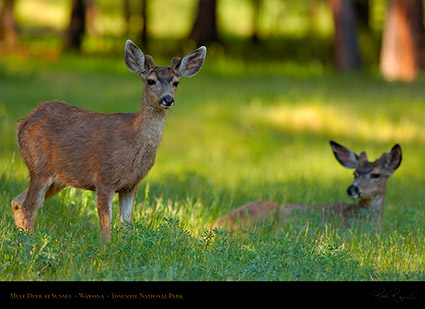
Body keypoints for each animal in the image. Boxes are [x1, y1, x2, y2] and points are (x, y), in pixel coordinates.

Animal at [10, 39, 206, 241]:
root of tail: (23, 123)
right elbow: (106, 228)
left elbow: (127, 226)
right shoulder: (104, 178)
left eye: (176, 82)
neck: (133, 143)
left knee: (17, 201)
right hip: (39, 165)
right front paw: (106, 248)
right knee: (29, 206)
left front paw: (125, 245)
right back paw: (31, 242)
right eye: (151, 81)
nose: (168, 99)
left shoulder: (131, 185)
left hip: (58, 178)